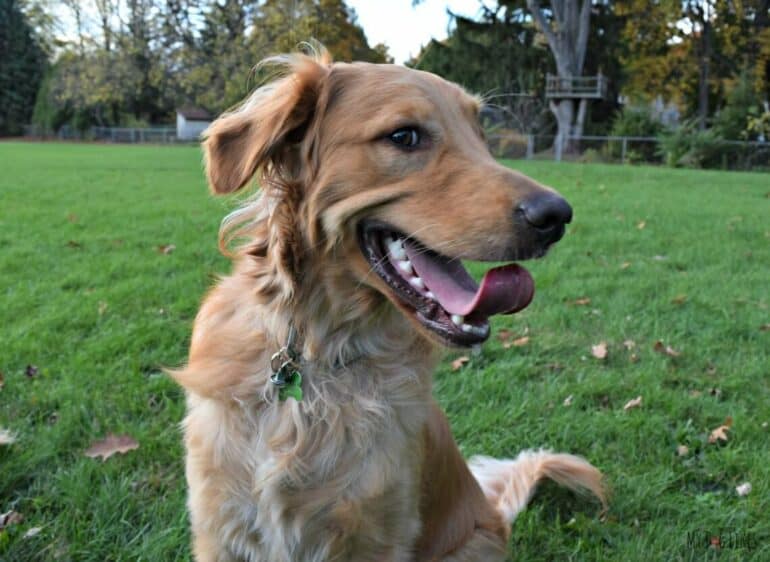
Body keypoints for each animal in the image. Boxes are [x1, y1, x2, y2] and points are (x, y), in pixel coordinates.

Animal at [172, 49, 600, 560]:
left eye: (480, 135)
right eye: (404, 136)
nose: (557, 216)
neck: (316, 354)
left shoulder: (379, 530)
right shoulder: (220, 527)